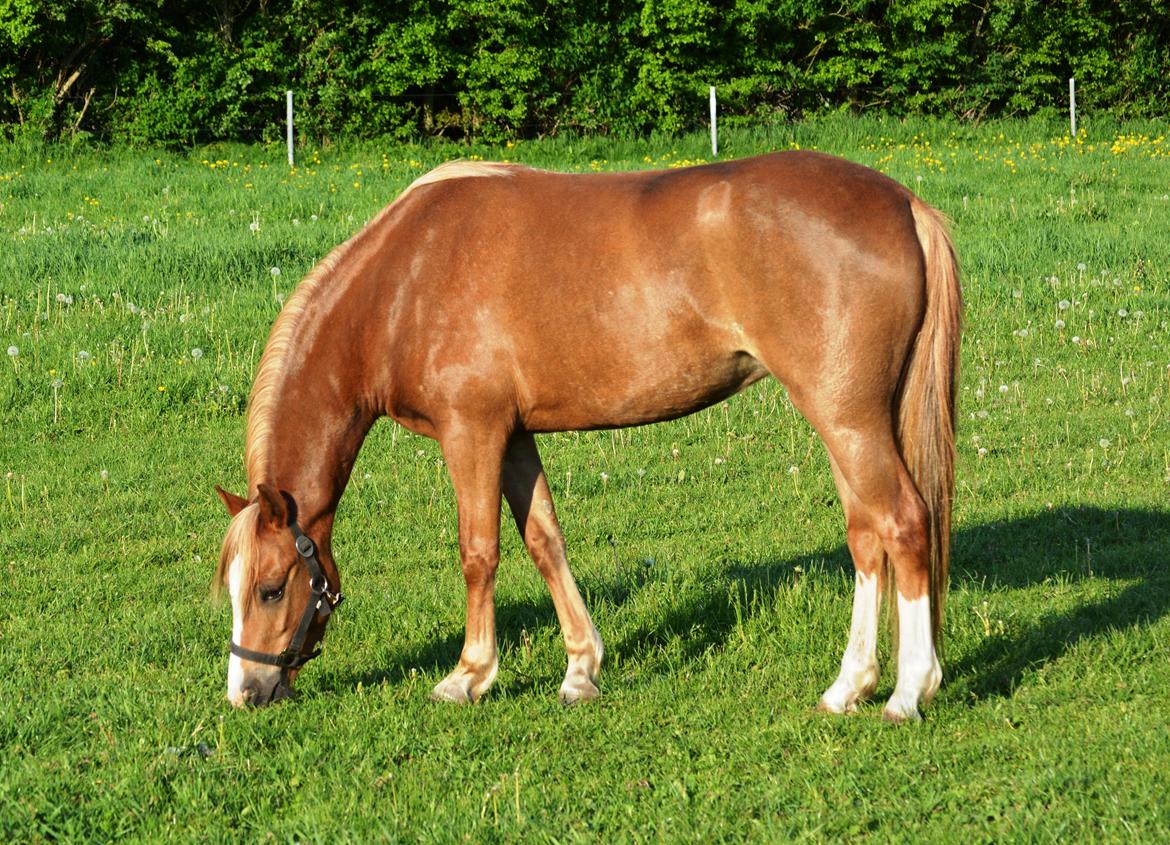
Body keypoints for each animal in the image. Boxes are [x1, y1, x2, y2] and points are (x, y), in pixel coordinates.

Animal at [213, 150, 961, 721]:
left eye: (272, 588)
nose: (246, 691)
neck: (402, 284)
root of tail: (903, 203)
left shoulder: (471, 432)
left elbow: (479, 552)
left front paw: (468, 674)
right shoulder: (514, 435)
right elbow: (545, 541)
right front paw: (580, 669)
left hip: (846, 417)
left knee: (903, 522)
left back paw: (906, 692)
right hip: (849, 423)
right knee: (867, 536)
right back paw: (848, 687)